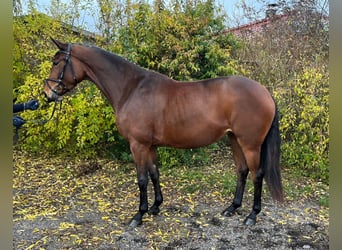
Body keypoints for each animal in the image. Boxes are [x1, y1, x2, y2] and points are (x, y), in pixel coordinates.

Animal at [42, 38, 284, 228]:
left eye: (56, 62)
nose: (47, 93)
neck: (131, 88)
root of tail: (265, 92)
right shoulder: (149, 145)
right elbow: (154, 173)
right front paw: (156, 207)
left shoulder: (137, 144)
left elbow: (141, 179)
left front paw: (138, 215)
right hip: (234, 138)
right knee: (242, 171)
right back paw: (232, 208)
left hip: (250, 143)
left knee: (257, 174)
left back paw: (252, 216)